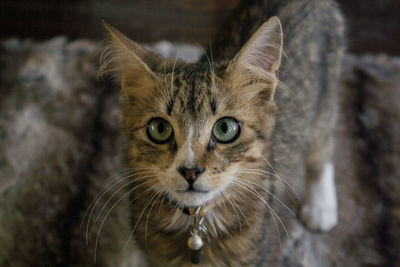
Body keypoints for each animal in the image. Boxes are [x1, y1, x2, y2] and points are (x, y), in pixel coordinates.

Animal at [98, 0, 346, 266]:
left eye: (225, 128)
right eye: (159, 129)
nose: (190, 171)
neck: (196, 222)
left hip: (326, 95)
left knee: (323, 143)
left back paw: (321, 206)